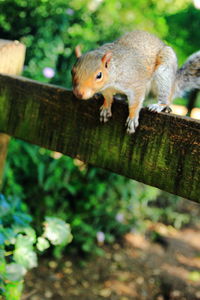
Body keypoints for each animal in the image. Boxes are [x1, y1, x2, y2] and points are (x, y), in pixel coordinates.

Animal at [72, 30, 200, 134]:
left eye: (99, 75)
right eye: (72, 71)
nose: (79, 93)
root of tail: (174, 84)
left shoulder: (136, 83)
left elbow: (135, 103)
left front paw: (132, 118)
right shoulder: (107, 89)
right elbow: (108, 98)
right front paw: (106, 107)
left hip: (165, 73)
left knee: (166, 96)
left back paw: (160, 106)